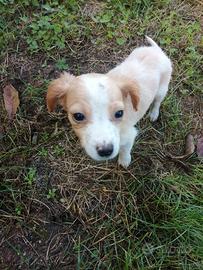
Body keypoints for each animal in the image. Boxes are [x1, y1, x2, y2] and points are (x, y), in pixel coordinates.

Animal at [46, 35, 172, 167]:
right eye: (78, 116)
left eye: (119, 113)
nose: (106, 151)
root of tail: (156, 50)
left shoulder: (129, 136)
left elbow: (125, 150)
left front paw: (124, 160)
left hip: (162, 89)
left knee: (157, 102)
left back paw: (154, 113)